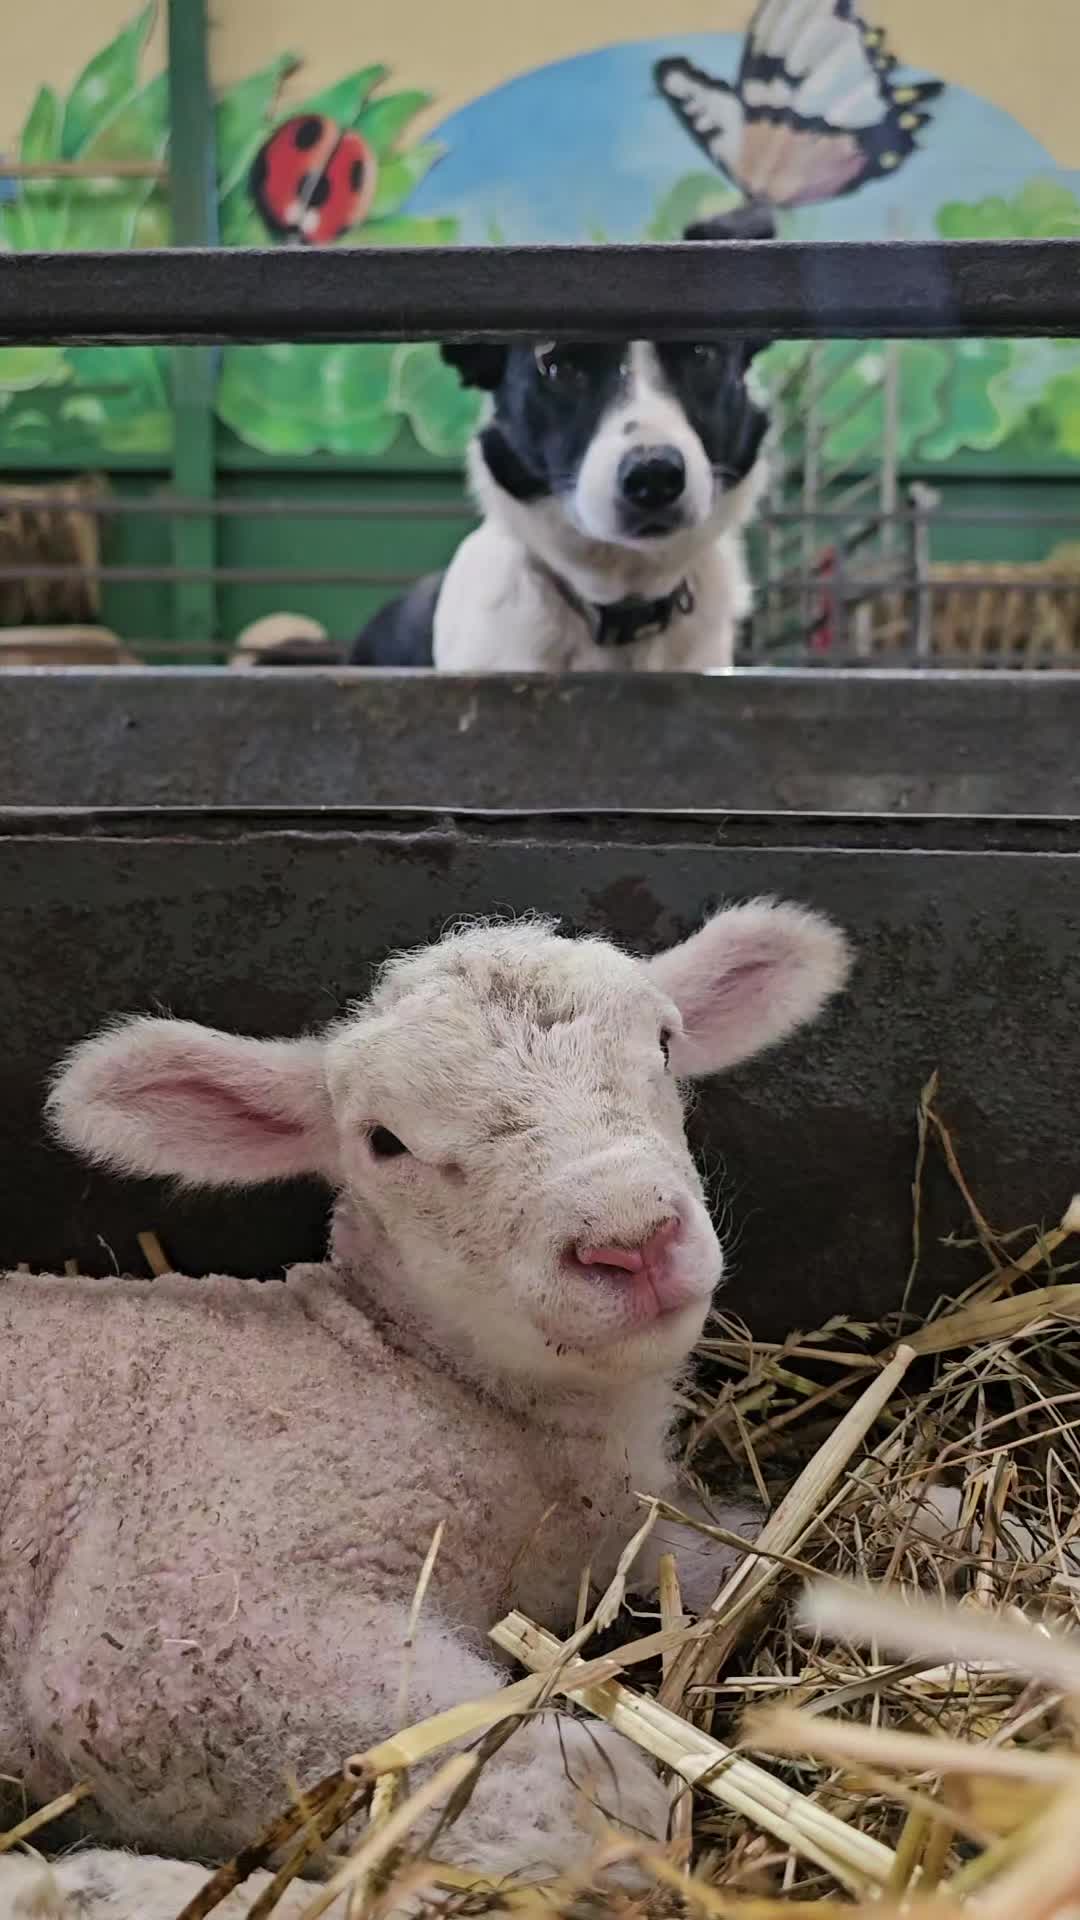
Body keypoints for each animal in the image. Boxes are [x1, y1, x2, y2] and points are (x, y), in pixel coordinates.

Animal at [0, 900, 851, 1917]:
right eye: (384, 1142)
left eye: (664, 1043)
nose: (630, 1238)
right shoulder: (171, 1632)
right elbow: (587, 1799)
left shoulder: (620, 1534)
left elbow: (759, 1555)